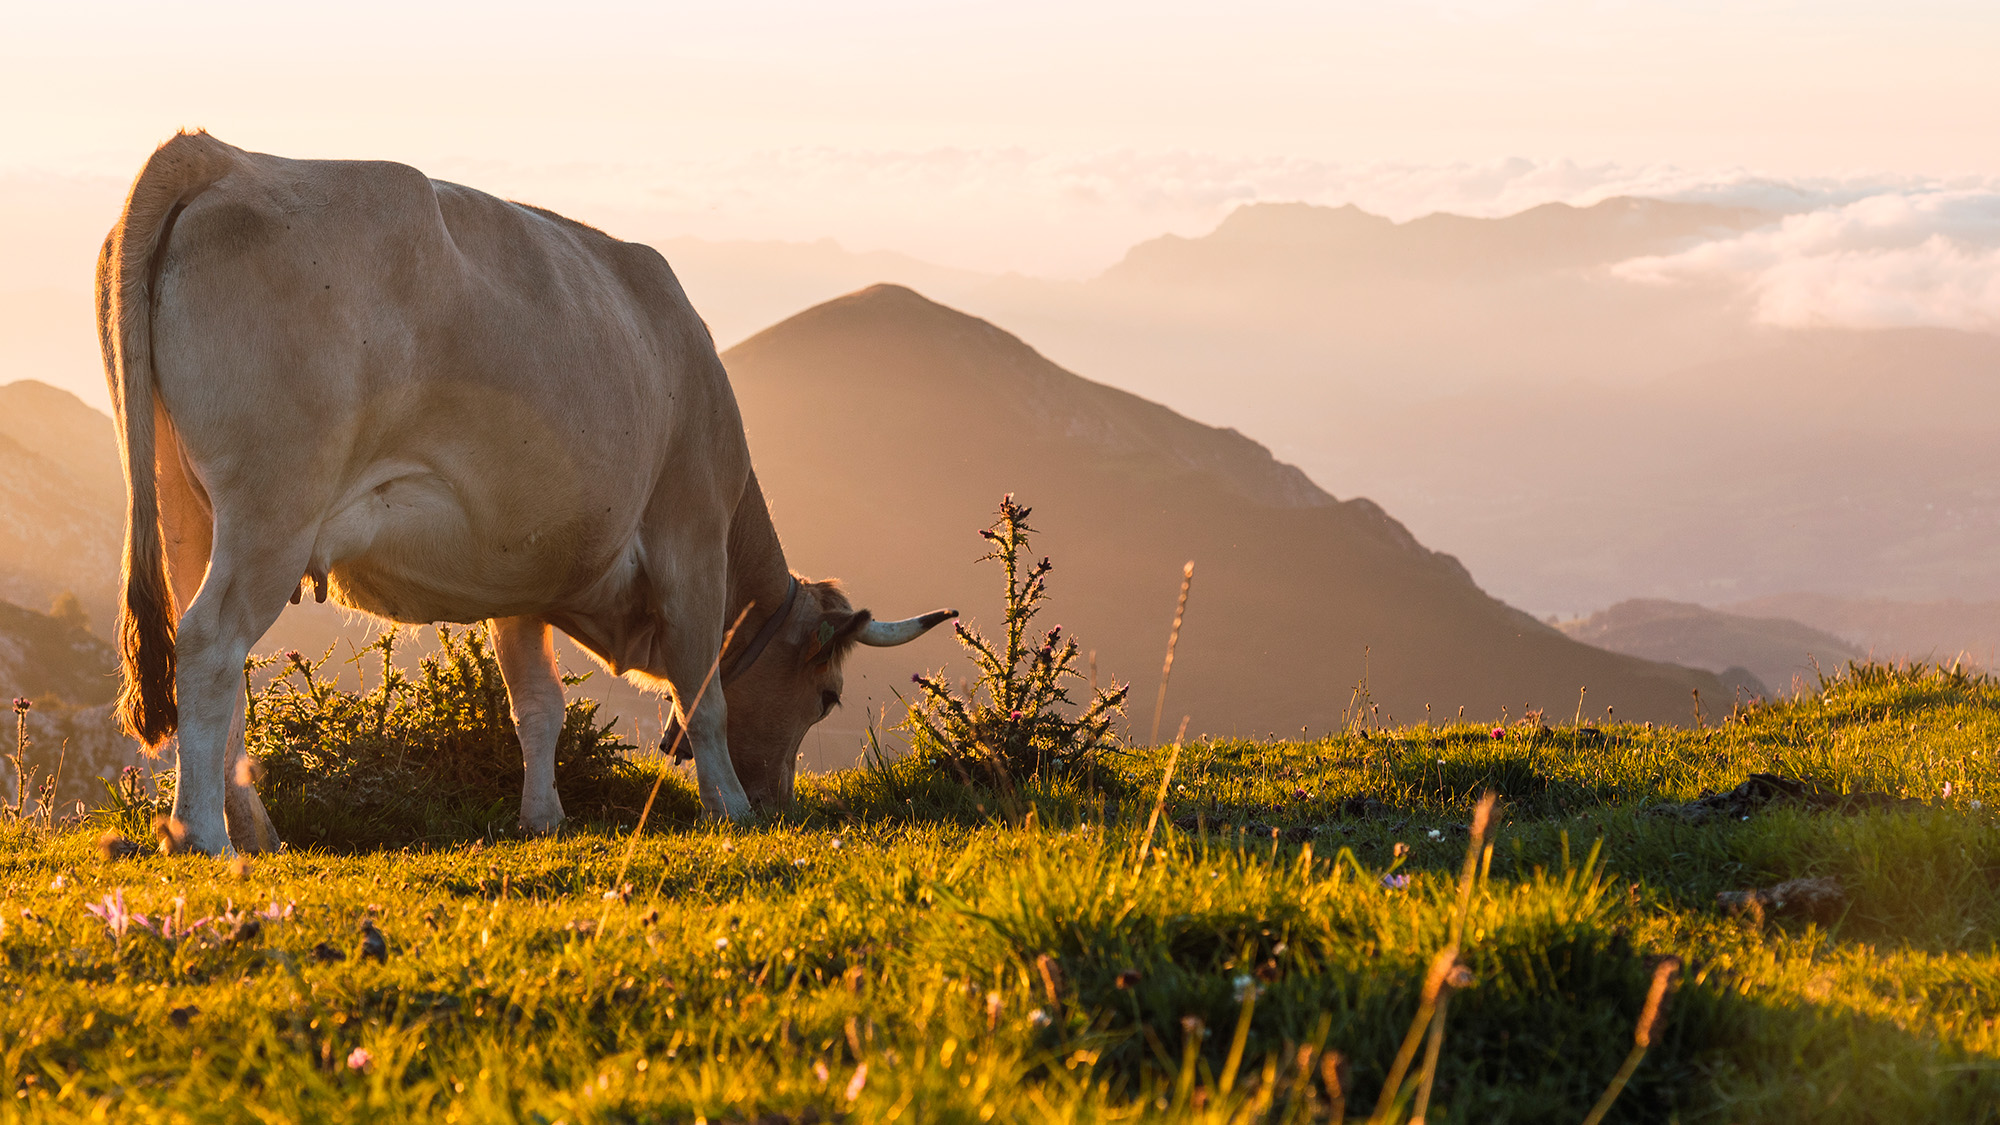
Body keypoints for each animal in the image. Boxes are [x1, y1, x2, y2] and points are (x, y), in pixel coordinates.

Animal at [97, 129, 956, 848]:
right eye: (826, 698)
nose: (781, 802)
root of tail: (221, 154)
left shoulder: (518, 572)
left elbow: (538, 705)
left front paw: (543, 816)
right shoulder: (691, 532)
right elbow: (702, 693)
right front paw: (731, 807)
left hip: (188, 507)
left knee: (215, 659)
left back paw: (257, 831)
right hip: (273, 507)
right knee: (210, 643)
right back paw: (201, 832)